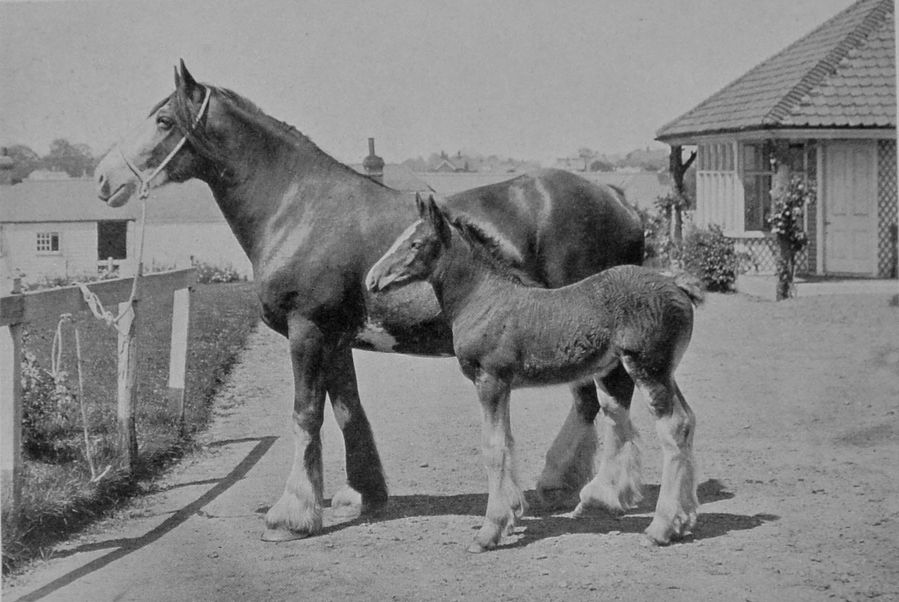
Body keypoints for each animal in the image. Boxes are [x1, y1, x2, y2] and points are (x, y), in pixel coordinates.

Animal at [94, 61, 645, 542]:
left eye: (164, 120)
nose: (104, 178)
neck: (299, 207)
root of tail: (618, 198)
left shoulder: (307, 330)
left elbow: (305, 416)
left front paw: (290, 515)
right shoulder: (336, 338)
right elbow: (346, 411)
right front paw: (363, 494)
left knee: (610, 396)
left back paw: (602, 493)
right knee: (590, 400)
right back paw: (561, 483)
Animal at [366, 194, 702, 551]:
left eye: (415, 243)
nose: (372, 280)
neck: (483, 299)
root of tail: (678, 289)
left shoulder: (490, 380)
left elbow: (494, 448)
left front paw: (489, 531)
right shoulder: (503, 385)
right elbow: (507, 442)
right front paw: (510, 516)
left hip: (647, 368)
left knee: (673, 426)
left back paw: (661, 527)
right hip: (663, 371)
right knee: (686, 420)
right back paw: (683, 520)